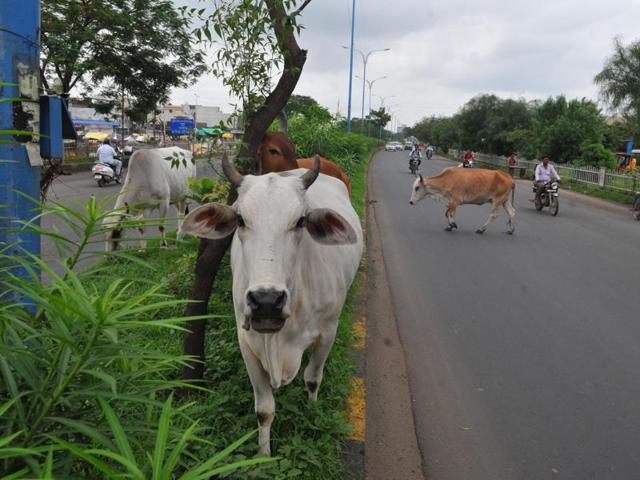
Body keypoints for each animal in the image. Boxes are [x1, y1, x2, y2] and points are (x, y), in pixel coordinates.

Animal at [180, 153, 363, 455]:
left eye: (300, 221)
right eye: (240, 220)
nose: (266, 301)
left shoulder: (328, 332)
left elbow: (313, 378)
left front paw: (312, 414)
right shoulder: (247, 342)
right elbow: (264, 410)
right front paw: (262, 455)